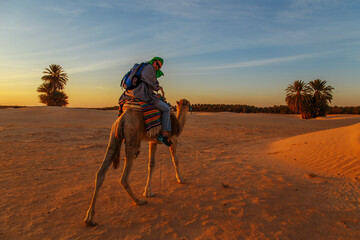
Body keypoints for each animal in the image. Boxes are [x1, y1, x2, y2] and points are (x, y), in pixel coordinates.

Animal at [83, 98, 191, 226]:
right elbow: (176, 160)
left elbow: (151, 164)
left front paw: (148, 191)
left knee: (100, 173)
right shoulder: (173, 140)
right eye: (188, 103)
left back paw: (90, 218)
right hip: (133, 139)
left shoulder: (153, 141)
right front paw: (181, 179)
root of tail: (123, 118)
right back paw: (139, 201)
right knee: (124, 178)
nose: (190, 107)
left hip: (114, 136)